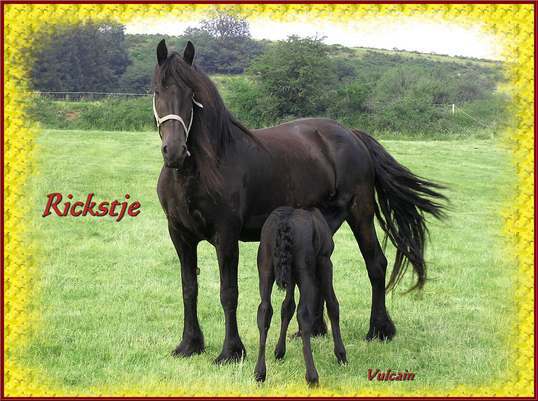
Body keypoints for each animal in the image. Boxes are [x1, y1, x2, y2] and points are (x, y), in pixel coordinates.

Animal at [153, 40, 446, 364]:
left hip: (360, 213)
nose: (174, 151)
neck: (206, 166)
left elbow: (228, 292)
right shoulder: (180, 235)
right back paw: (315, 329)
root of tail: (352, 135)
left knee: (376, 263)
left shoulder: (226, 235)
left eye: (191, 95)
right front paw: (189, 345)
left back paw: (379, 330)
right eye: (157, 91)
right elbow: (188, 288)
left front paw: (231, 351)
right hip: (322, 220)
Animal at [254, 207, 346, 385]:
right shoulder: (325, 262)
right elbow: (333, 305)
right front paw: (341, 355)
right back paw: (312, 376)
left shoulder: (290, 276)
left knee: (264, 310)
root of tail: (284, 222)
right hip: (306, 272)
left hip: (265, 266)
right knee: (303, 314)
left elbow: (287, 307)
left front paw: (279, 351)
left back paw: (259, 373)